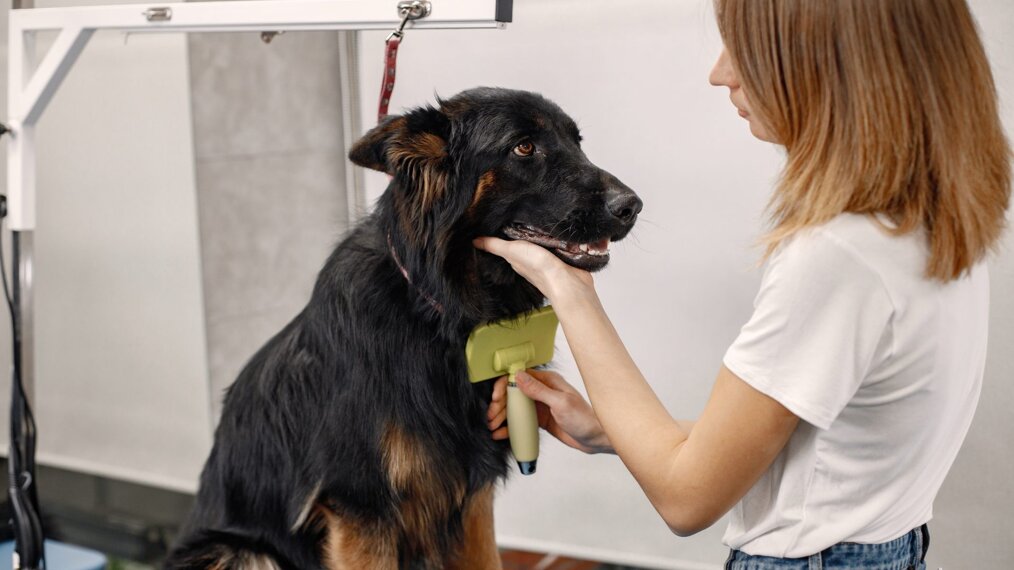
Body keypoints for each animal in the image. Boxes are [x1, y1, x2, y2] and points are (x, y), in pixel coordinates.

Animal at [166, 85, 640, 567]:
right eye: (524, 147)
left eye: (576, 142)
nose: (632, 206)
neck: (439, 311)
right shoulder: (361, 510)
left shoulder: (472, 497)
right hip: (240, 550)